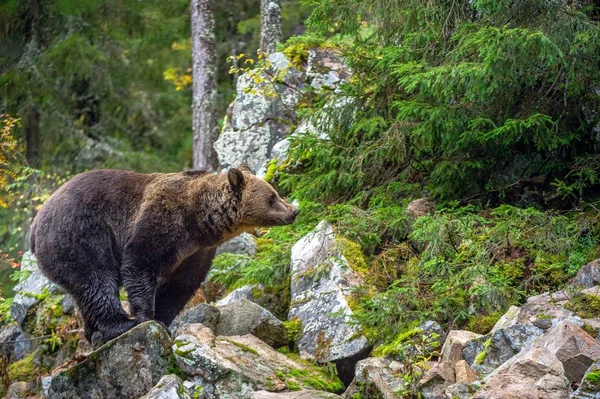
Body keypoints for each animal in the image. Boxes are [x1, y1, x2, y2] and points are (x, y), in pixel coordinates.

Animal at [30, 167, 298, 346]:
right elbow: (139, 262)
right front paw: (147, 318)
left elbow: (180, 285)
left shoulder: (196, 252)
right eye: (272, 197)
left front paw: (163, 319)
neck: (200, 221)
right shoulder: (163, 220)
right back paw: (119, 324)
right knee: (97, 280)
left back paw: (94, 331)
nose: (294, 211)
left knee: (84, 291)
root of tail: (34, 224)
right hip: (78, 235)